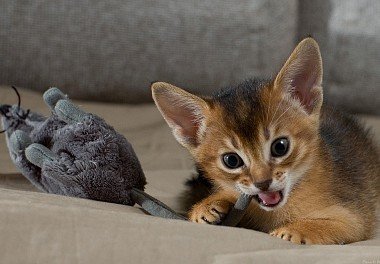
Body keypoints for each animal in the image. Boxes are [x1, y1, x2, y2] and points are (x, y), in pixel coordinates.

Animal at [150, 38, 378, 244]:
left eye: (280, 147)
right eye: (231, 160)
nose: (262, 183)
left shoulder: (355, 216)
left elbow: (333, 224)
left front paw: (294, 230)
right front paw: (207, 205)